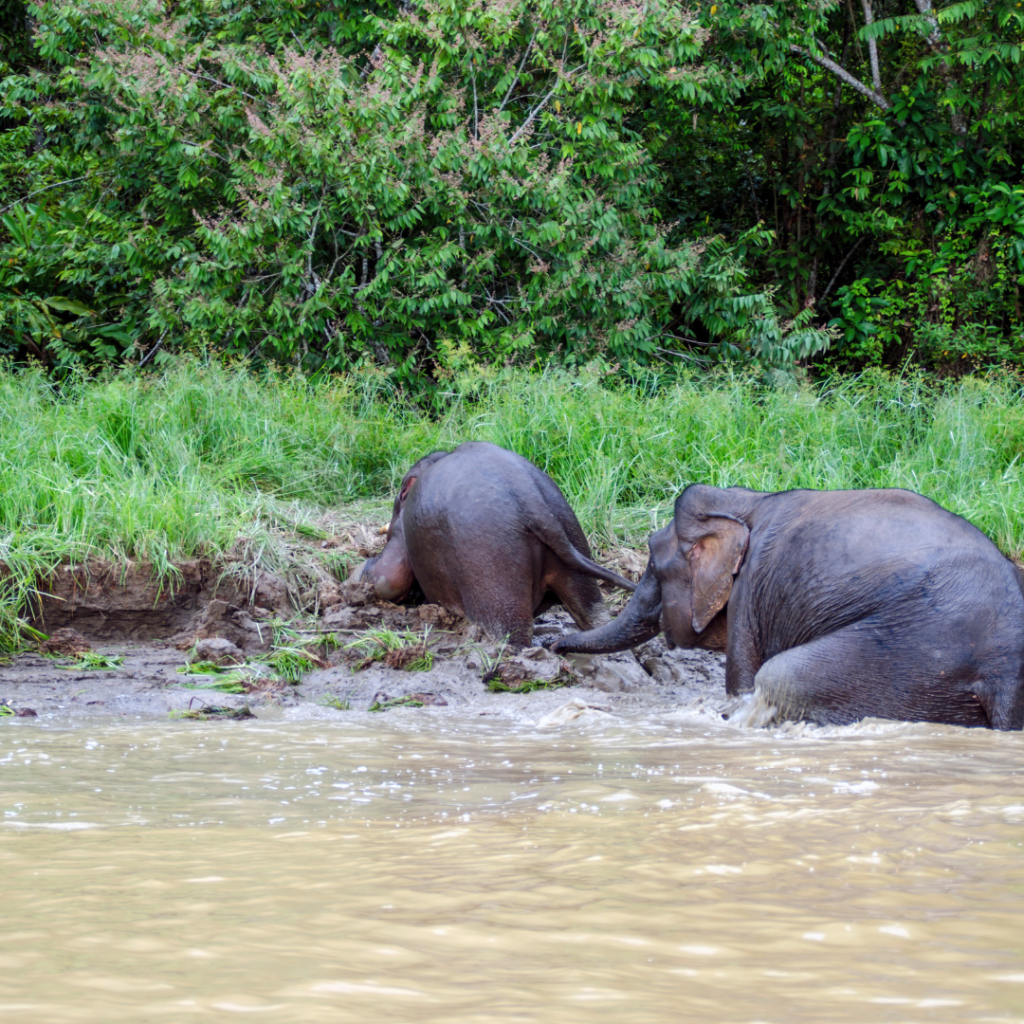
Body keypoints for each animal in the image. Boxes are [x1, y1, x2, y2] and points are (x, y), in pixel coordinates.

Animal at [356, 440, 634, 647]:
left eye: (400, 497)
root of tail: (531, 498)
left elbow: (385, 579)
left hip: (493, 580)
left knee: (511, 636)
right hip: (568, 534)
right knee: (596, 617)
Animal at [557, 481, 1024, 729]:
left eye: (653, 562)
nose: (553, 646)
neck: (747, 500)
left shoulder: (750, 593)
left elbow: (744, 682)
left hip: (914, 651)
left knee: (780, 677)